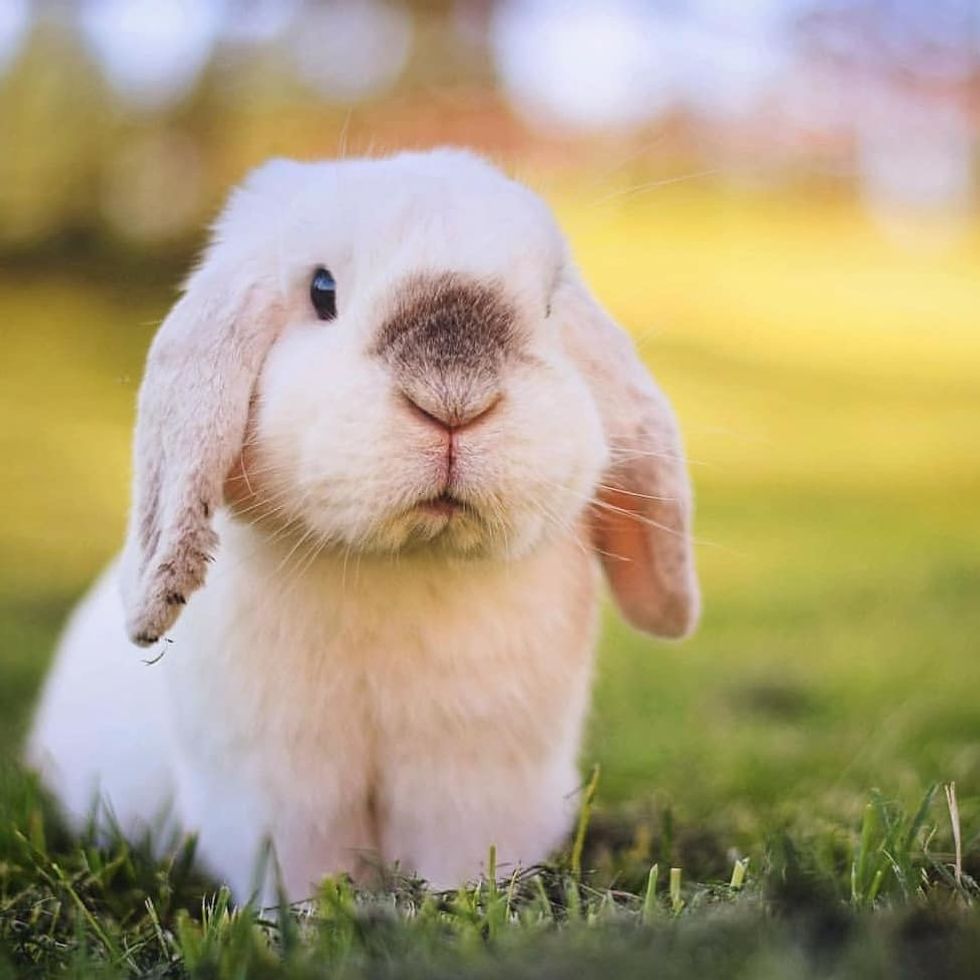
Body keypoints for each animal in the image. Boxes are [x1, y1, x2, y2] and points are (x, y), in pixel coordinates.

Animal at [27, 148, 699, 902]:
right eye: (322, 290)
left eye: (551, 305)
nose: (454, 398)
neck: (402, 563)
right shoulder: (276, 791)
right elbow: (297, 873)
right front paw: (303, 920)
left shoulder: (477, 783)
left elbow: (462, 862)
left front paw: (457, 906)